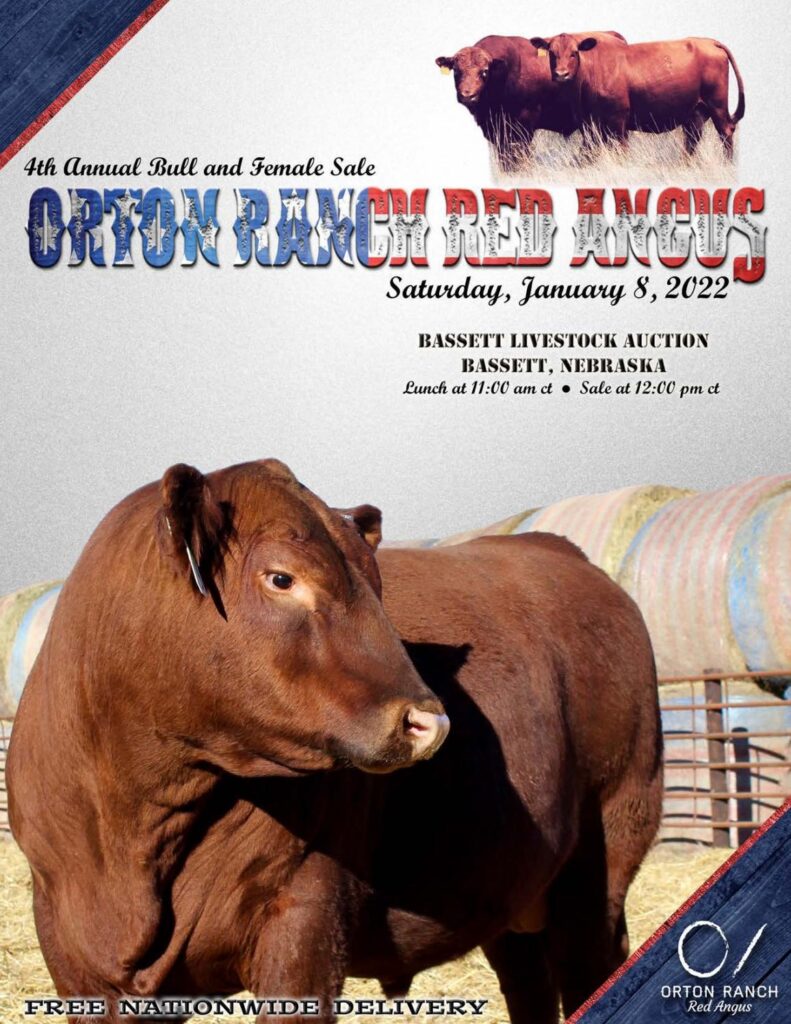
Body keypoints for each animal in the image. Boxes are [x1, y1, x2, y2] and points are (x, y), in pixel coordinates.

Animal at [8, 458, 663, 1024]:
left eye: (376, 585)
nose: (431, 722)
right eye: (281, 577)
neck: (133, 832)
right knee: (528, 980)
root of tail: (556, 548)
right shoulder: (72, 953)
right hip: (508, 888)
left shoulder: (302, 920)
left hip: (602, 854)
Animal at [435, 33, 627, 171]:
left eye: (484, 71)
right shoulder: (496, 130)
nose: (467, 95)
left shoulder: (524, 124)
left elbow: (521, 155)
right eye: (456, 71)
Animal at [530, 33, 745, 156]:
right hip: (695, 113)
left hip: (717, 104)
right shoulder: (589, 124)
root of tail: (709, 41)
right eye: (552, 53)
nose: (561, 74)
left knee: (725, 132)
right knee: (692, 140)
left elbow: (621, 151)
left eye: (574, 53)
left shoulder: (618, 121)